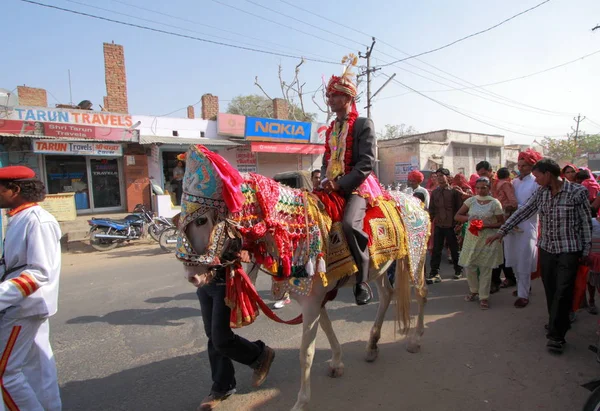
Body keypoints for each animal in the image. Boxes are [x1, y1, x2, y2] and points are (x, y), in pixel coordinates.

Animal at [176, 145, 428, 411]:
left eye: (201, 219)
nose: (193, 276)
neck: (295, 229)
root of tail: (414, 200)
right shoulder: (315, 299)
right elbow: (326, 329)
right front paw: (336, 362)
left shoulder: (312, 301)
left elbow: (306, 352)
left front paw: (301, 401)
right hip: (380, 266)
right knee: (387, 295)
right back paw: (372, 346)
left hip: (416, 257)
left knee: (421, 293)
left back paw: (415, 339)